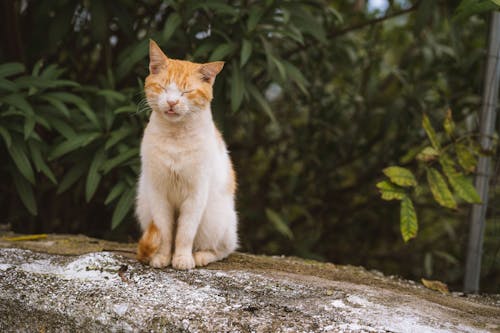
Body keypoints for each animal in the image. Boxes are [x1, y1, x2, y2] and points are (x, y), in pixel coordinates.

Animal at [137, 40, 238, 268]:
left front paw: (182, 258)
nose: (172, 102)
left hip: (214, 220)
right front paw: (162, 257)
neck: (176, 137)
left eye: (186, 91)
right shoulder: (158, 193)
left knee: (225, 248)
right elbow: (165, 232)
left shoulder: (196, 193)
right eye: (163, 87)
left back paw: (201, 256)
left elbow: (185, 232)